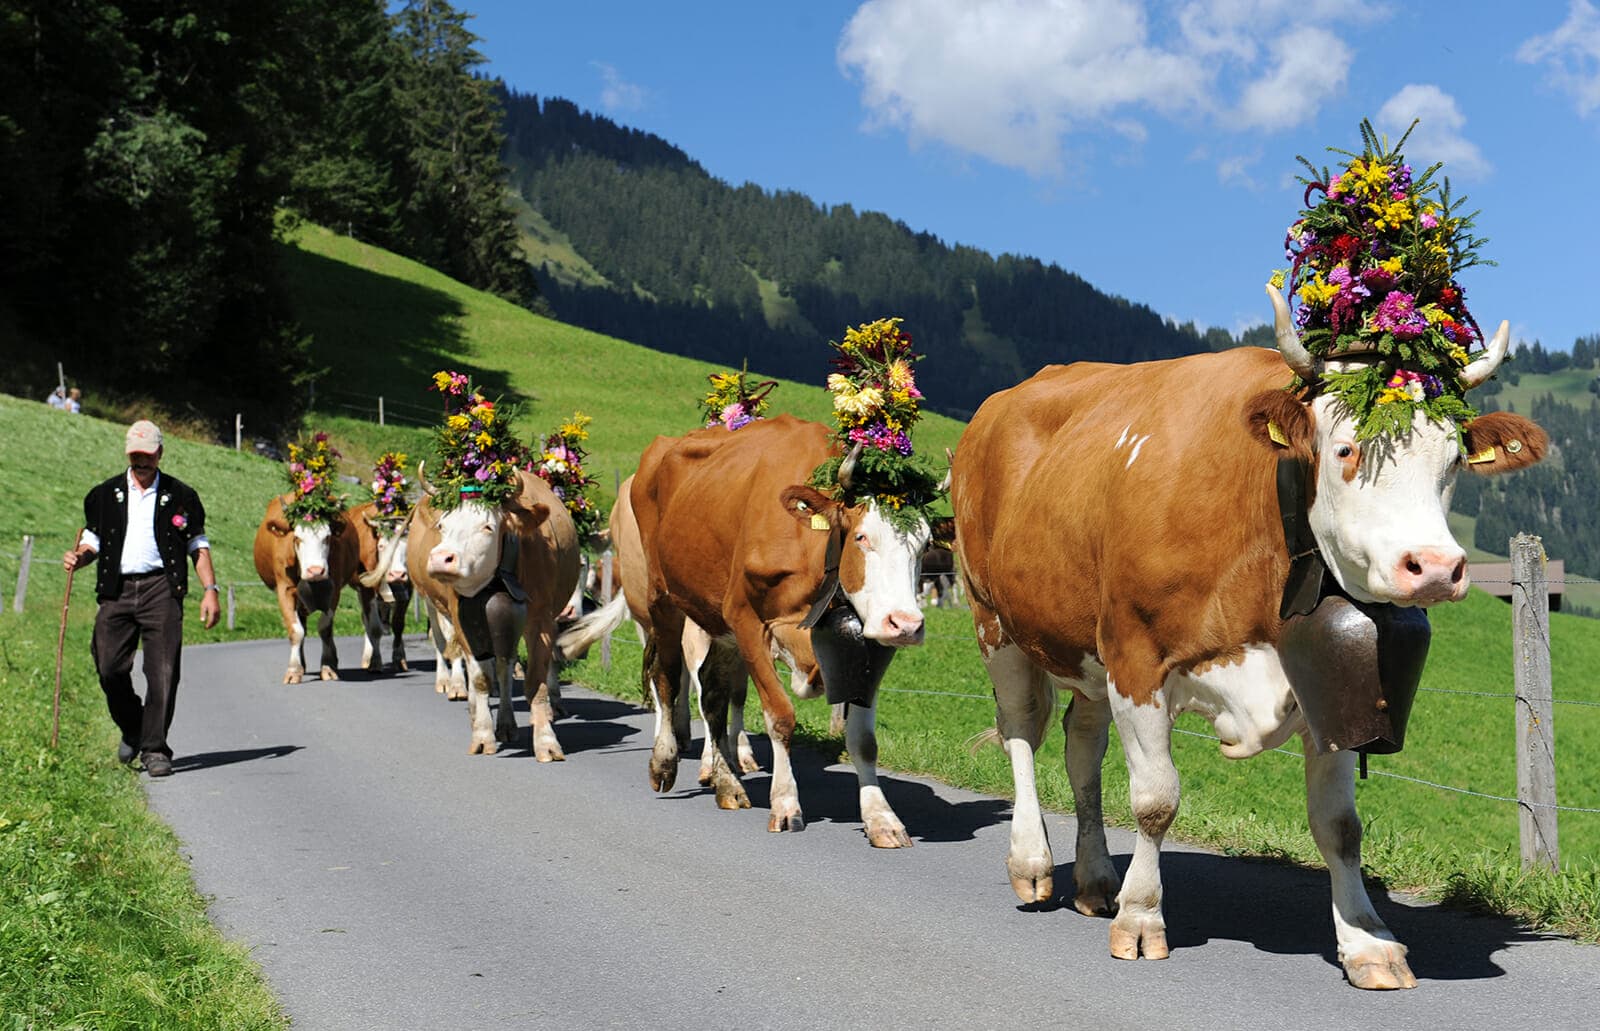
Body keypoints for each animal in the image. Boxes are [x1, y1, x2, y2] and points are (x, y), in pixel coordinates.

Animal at [254, 496, 361, 685]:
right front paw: (293, 670)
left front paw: (328, 667)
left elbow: (325, 628)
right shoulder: (285, 589)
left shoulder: (333, 590)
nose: (316, 571)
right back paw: (302, 665)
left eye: (327, 537)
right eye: (297, 538)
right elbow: (296, 631)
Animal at [345, 502, 412, 675]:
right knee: (366, 620)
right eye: (381, 546)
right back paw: (367, 658)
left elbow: (398, 624)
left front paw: (399, 659)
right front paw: (375, 662)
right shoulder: (365, 588)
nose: (398, 574)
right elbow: (374, 628)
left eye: (407, 546)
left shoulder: (408, 589)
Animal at [412, 467, 582, 755]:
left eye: (487, 526)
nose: (441, 558)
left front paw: (546, 741)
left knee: (505, 665)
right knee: (452, 647)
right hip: (436, 606)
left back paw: (509, 722)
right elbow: (480, 678)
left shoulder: (541, 622)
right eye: (442, 526)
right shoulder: (463, 620)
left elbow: (535, 681)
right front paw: (482, 735)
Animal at [617, 413, 934, 845]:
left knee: (712, 693)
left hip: (713, 617)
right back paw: (665, 761)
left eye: (926, 544)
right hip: (662, 598)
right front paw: (785, 804)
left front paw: (881, 818)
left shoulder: (867, 646)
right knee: (667, 678)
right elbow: (780, 716)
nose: (906, 623)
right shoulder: (746, 619)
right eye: (862, 537)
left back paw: (728, 784)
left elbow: (864, 740)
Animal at [947, 304, 1548, 992]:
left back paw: (1097, 880)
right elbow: (1155, 801)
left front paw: (1368, 941)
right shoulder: (1137, 657)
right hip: (994, 618)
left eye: (1452, 460)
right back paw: (1033, 863)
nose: (1435, 568)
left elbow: (1340, 827)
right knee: (1022, 729)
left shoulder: (1330, 689)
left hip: (1085, 648)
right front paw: (1142, 919)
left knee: (1082, 748)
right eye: (1345, 448)